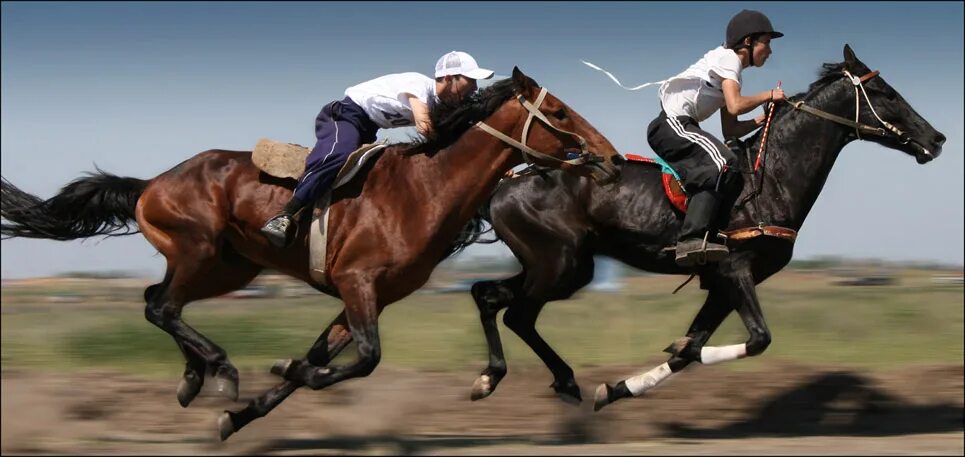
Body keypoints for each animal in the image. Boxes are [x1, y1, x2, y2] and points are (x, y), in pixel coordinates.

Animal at [0, 67, 616, 438]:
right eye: (561, 113)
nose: (608, 157)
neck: (424, 188)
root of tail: (151, 182)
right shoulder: (358, 284)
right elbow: (362, 360)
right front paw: (274, 374)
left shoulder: (368, 297)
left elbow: (323, 357)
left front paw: (242, 415)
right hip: (198, 251)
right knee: (161, 306)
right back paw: (219, 369)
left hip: (229, 267)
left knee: (159, 300)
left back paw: (193, 378)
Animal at [464, 46, 944, 410]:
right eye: (883, 92)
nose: (937, 139)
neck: (770, 177)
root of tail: (506, 181)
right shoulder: (735, 270)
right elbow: (753, 339)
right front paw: (668, 355)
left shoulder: (722, 282)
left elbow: (692, 349)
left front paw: (619, 387)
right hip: (560, 266)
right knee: (516, 312)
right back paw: (544, 380)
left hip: (558, 266)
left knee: (488, 296)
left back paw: (498, 377)